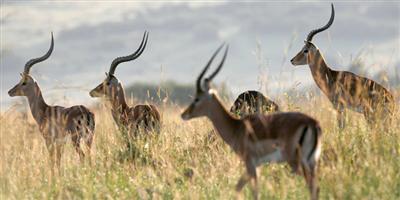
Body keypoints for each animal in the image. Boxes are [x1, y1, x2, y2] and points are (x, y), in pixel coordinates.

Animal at [8, 32, 95, 173]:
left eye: (24, 82)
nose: (10, 91)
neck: (45, 110)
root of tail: (86, 112)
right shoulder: (60, 143)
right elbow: (58, 161)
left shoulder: (49, 141)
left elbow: (52, 161)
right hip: (89, 138)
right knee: (89, 154)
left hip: (76, 139)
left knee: (82, 155)